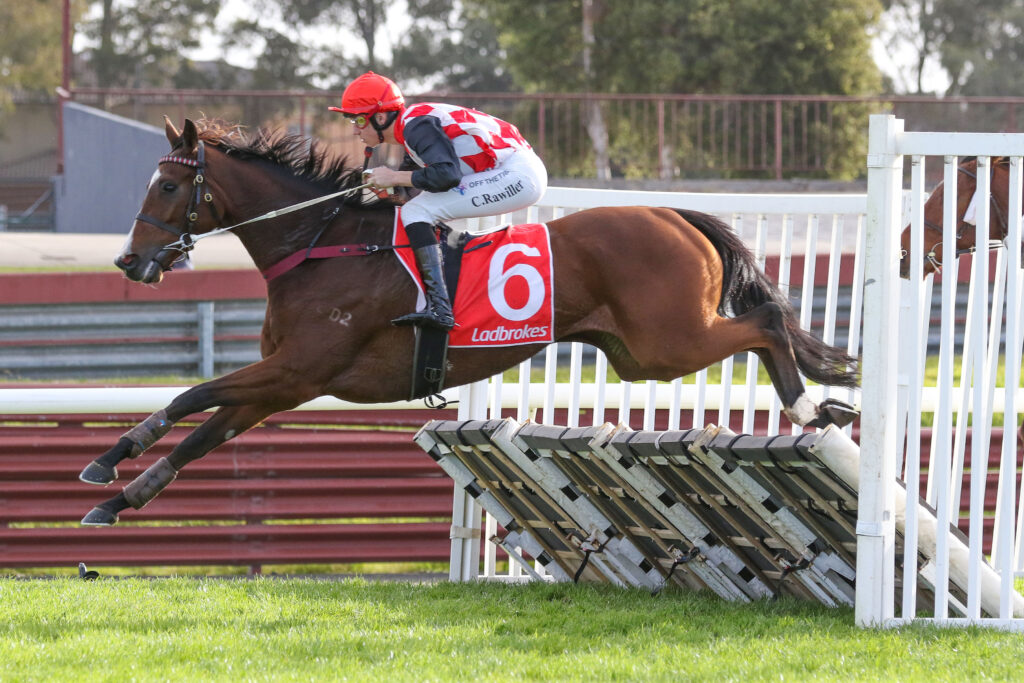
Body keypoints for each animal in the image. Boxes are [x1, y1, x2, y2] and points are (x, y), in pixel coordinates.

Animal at [77, 117, 859, 526]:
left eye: (168, 185)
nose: (128, 260)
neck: (321, 243)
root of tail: (673, 213)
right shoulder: (286, 384)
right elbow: (204, 430)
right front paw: (121, 495)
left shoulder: (299, 370)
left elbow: (191, 397)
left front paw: (109, 460)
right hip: (638, 353)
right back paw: (820, 406)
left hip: (668, 342)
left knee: (766, 321)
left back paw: (813, 405)